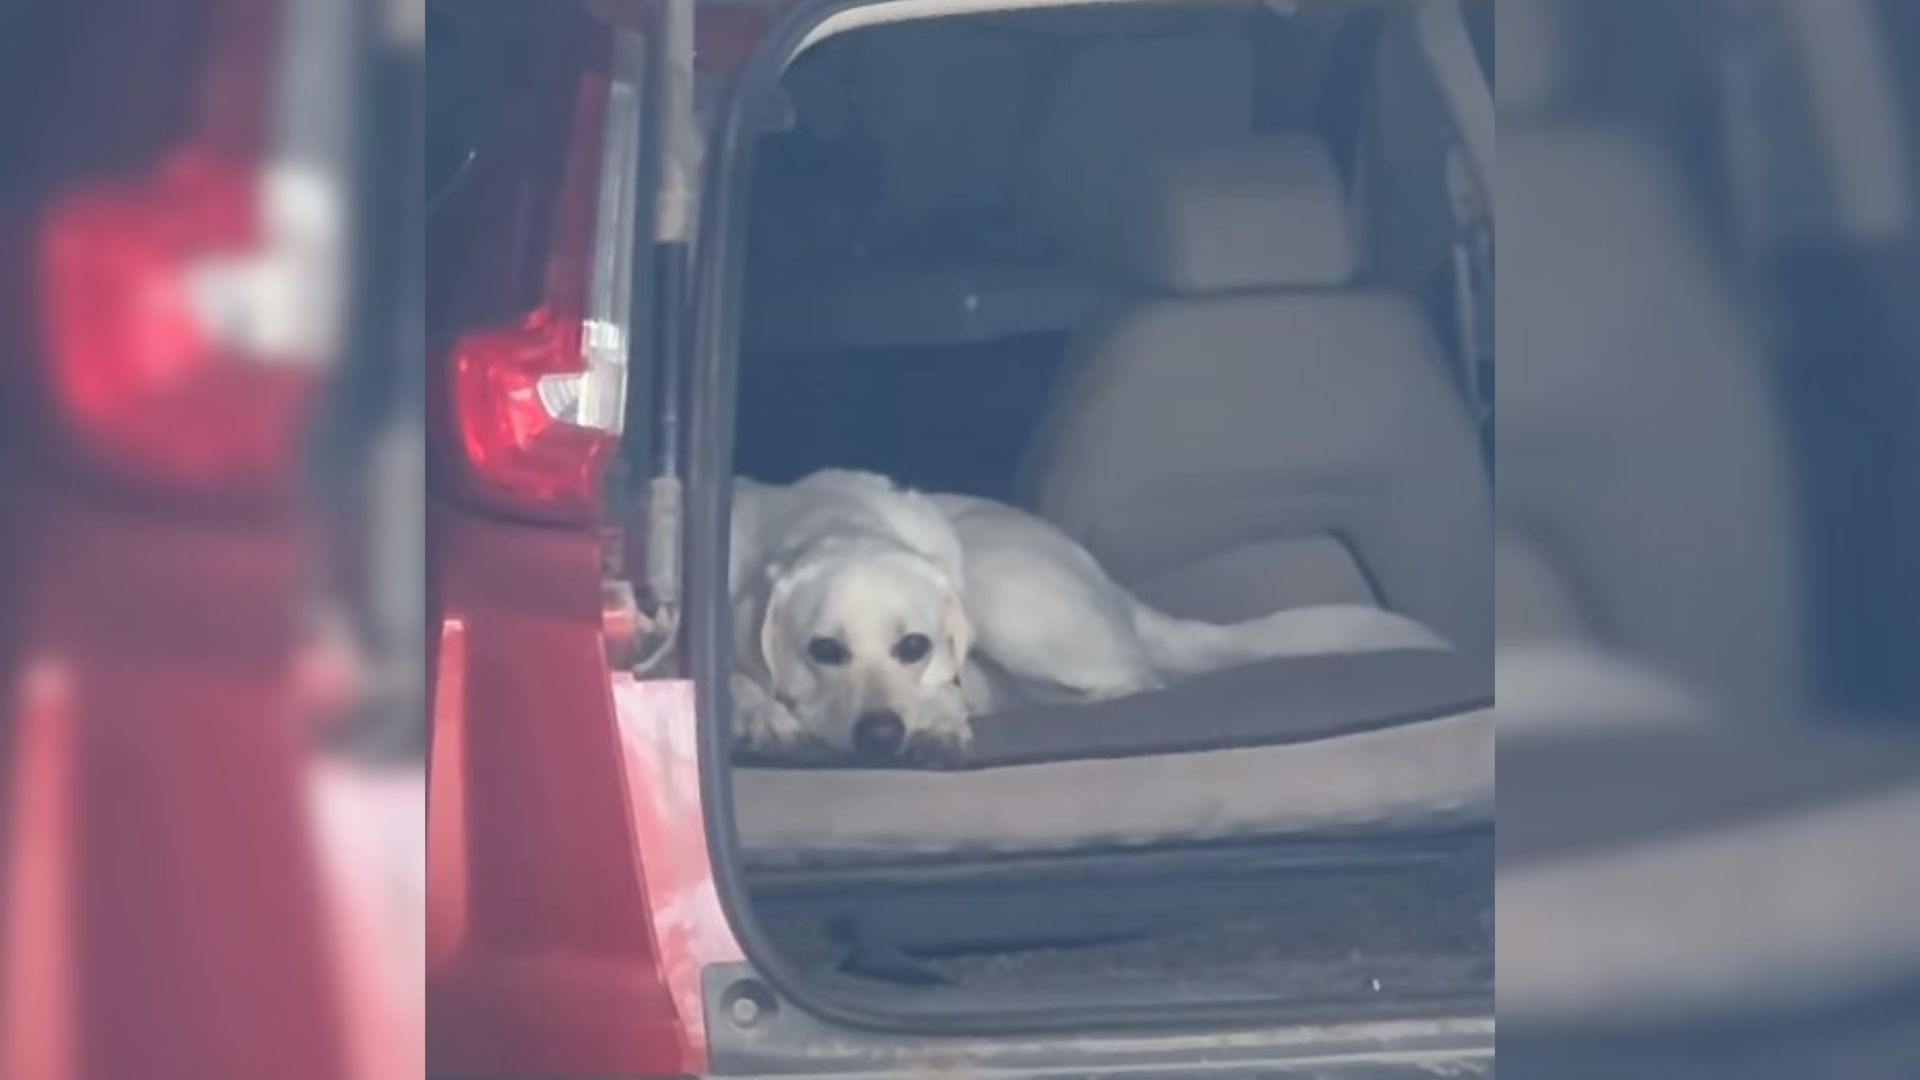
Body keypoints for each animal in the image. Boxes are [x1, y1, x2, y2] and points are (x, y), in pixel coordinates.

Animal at [725, 468, 1443, 757]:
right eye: (824, 650)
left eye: (913, 646)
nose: (881, 735)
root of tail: (1117, 590)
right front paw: (761, 713)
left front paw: (938, 715)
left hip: (1003, 594)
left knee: (1134, 682)